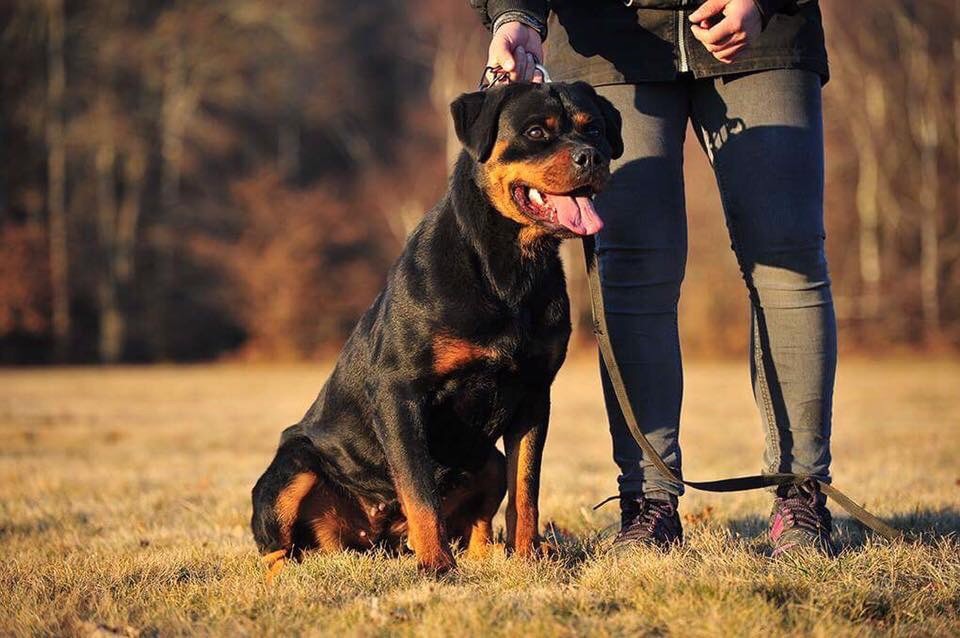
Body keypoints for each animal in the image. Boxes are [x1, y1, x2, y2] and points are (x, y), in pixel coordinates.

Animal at [251, 80, 624, 576]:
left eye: (594, 129)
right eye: (536, 131)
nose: (591, 157)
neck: (510, 266)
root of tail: (376, 538)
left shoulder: (533, 394)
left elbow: (526, 489)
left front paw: (527, 556)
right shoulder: (399, 391)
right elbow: (419, 488)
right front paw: (437, 567)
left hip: (487, 459)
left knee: (481, 526)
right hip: (292, 469)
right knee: (277, 548)